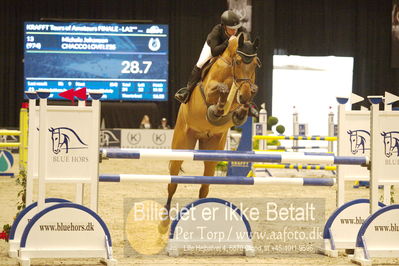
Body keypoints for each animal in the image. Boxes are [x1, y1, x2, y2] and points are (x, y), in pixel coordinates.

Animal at [159, 33, 262, 233]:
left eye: (254, 64)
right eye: (238, 62)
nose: (244, 95)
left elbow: (245, 98)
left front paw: (241, 111)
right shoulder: (209, 89)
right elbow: (219, 90)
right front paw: (218, 108)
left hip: (212, 152)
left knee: (204, 188)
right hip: (181, 145)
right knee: (172, 183)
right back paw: (164, 222)